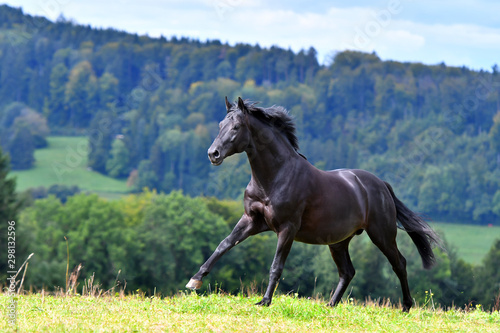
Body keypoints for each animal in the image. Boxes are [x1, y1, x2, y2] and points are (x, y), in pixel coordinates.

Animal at [188, 96, 442, 312]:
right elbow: (224, 244)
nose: (213, 154)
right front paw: (194, 281)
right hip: (338, 242)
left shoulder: (287, 228)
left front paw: (265, 301)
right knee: (347, 272)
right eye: (221, 124)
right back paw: (330, 305)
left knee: (399, 263)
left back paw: (406, 306)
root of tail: (381, 185)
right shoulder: (251, 220)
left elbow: (276, 265)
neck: (275, 177)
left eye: (236, 127)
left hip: (382, 234)